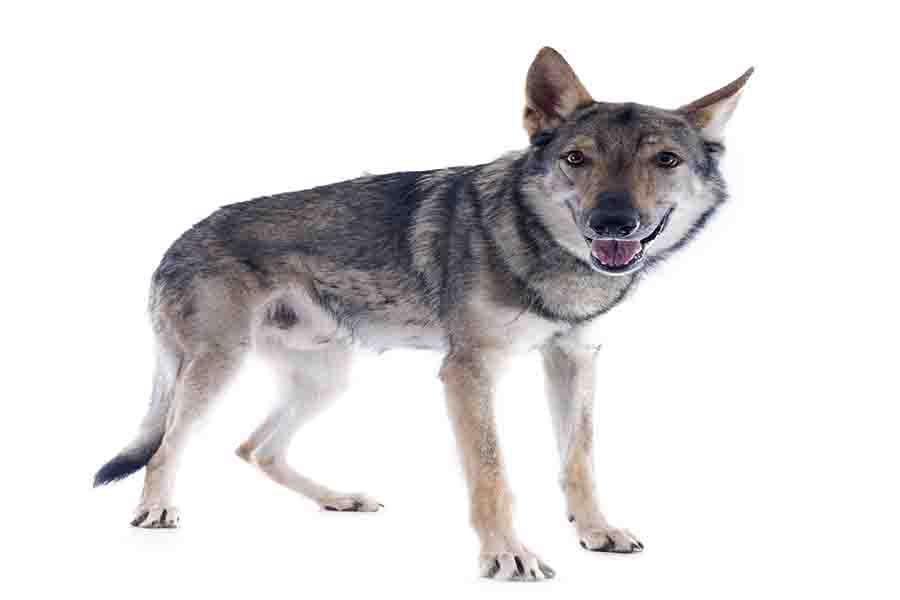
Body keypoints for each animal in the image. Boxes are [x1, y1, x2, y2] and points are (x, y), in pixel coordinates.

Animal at [94, 46, 751, 581]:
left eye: (665, 161)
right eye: (576, 159)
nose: (613, 223)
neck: (538, 247)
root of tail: (175, 241)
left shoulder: (575, 357)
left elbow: (578, 459)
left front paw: (596, 531)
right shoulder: (469, 372)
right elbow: (491, 475)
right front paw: (507, 555)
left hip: (327, 378)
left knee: (255, 448)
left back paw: (340, 499)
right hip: (218, 368)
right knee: (167, 446)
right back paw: (156, 508)